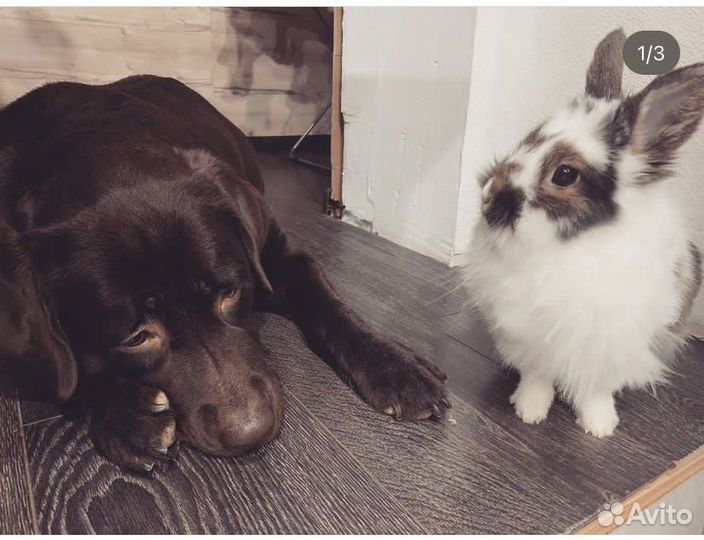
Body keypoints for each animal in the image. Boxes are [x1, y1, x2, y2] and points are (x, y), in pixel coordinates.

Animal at [463, 28, 704, 437]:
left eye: (564, 175)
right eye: (528, 138)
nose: (487, 197)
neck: (566, 247)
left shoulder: (609, 343)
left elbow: (596, 388)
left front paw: (600, 426)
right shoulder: (529, 333)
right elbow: (537, 375)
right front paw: (529, 410)